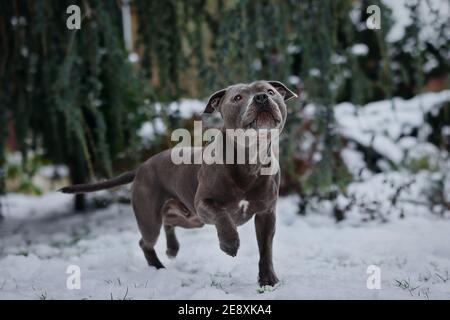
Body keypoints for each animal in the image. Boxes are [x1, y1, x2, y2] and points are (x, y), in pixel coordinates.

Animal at [60, 80, 298, 288]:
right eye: (238, 97)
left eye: (270, 91)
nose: (261, 97)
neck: (250, 157)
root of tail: (142, 166)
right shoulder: (203, 204)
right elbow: (222, 216)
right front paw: (229, 243)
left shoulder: (266, 214)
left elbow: (265, 249)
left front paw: (268, 280)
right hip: (153, 218)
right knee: (146, 241)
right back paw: (158, 267)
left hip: (190, 218)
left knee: (169, 222)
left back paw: (172, 249)